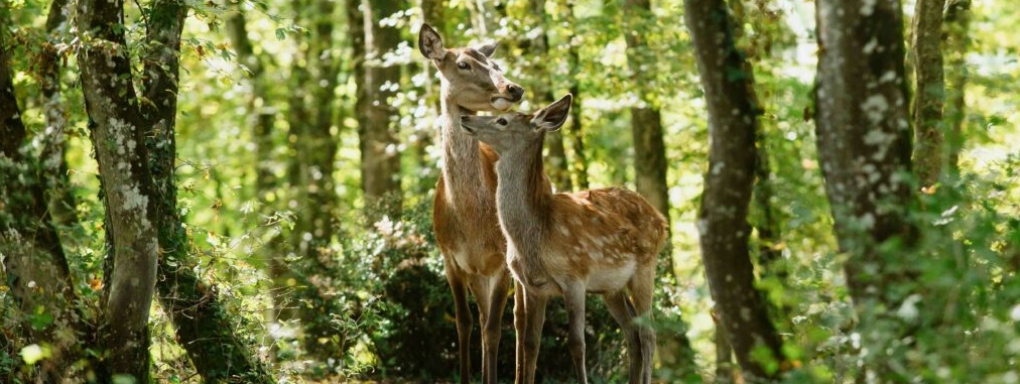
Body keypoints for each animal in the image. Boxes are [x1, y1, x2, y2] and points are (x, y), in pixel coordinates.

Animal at [416, 24, 526, 384]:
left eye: (496, 64)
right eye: (463, 64)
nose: (513, 88)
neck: (470, 220)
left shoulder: (502, 259)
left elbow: (493, 329)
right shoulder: (450, 257)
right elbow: (464, 323)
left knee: (520, 318)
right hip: (477, 274)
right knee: (481, 317)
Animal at [461, 93, 665, 384]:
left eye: (503, 120)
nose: (465, 116)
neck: (536, 235)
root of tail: (661, 218)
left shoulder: (575, 277)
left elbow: (576, 343)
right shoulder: (534, 286)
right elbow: (530, 343)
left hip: (646, 265)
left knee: (648, 333)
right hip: (611, 287)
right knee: (632, 333)